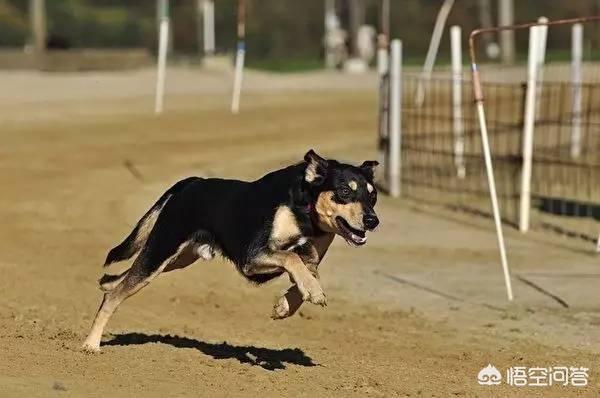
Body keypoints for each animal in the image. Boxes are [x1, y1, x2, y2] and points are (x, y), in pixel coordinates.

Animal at [83, 149, 380, 352]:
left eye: (373, 195)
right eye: (344, 191)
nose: (372, 221)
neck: (305, 211)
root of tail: (192, 182)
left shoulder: (310, 258)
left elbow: (305, 272)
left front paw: (287, 305)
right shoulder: (252, 256)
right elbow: (291, 257)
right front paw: (312, 293)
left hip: (176, 258)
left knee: (117, 282)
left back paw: (106, 285)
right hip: (161, 250)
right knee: (115, 296)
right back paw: (90, 344)